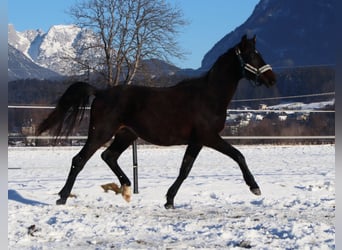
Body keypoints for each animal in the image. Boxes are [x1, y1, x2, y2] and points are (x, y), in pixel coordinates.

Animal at [37, 34, 276, 208]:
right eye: (252, 55)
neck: (209, 96)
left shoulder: (197, 141)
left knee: (109, 156)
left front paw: (169, 200)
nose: (272, 78)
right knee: (79, 160)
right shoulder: (208, 136)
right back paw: (63, 196)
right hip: (101, 132)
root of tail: (101, 93)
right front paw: (255, 187)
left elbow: (185, 169)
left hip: (125, 134)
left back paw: (125, 188)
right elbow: (238, 155)